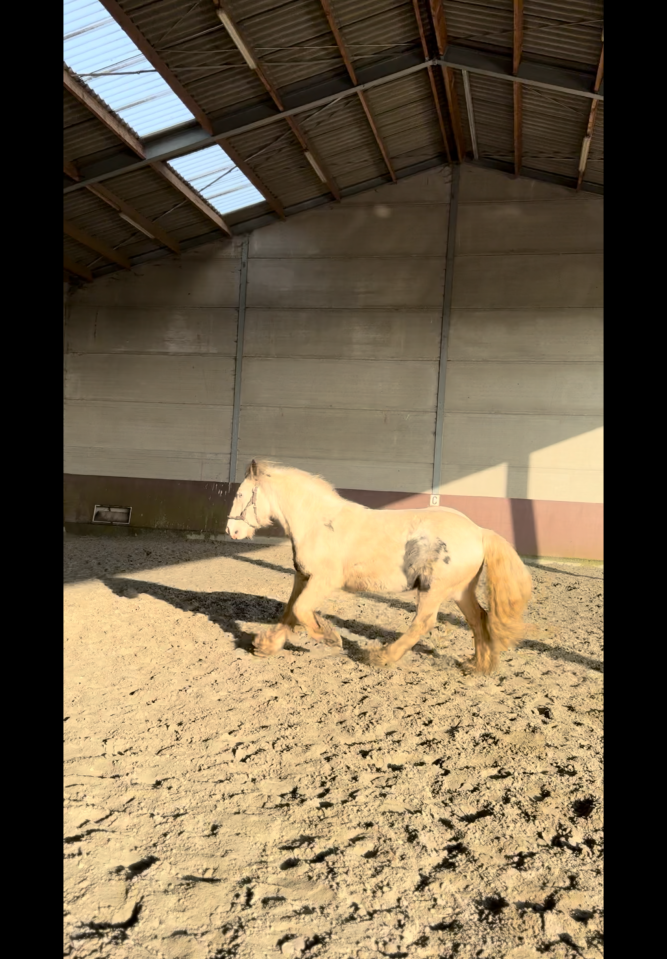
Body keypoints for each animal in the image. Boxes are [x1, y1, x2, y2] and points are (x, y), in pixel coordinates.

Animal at [226, 460, 533, 673]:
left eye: (240, 495)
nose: (231, 531)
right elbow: (290, 612)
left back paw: (381, 656)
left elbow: (301, 610)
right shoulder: (302, 577)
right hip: (460, 591)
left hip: (434, 589)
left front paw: (331, 639)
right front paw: (265, 646)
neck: (318, 523)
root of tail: (479, 531)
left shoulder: (324, 580)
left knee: (424, 623)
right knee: (478, 619)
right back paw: (477, 666)